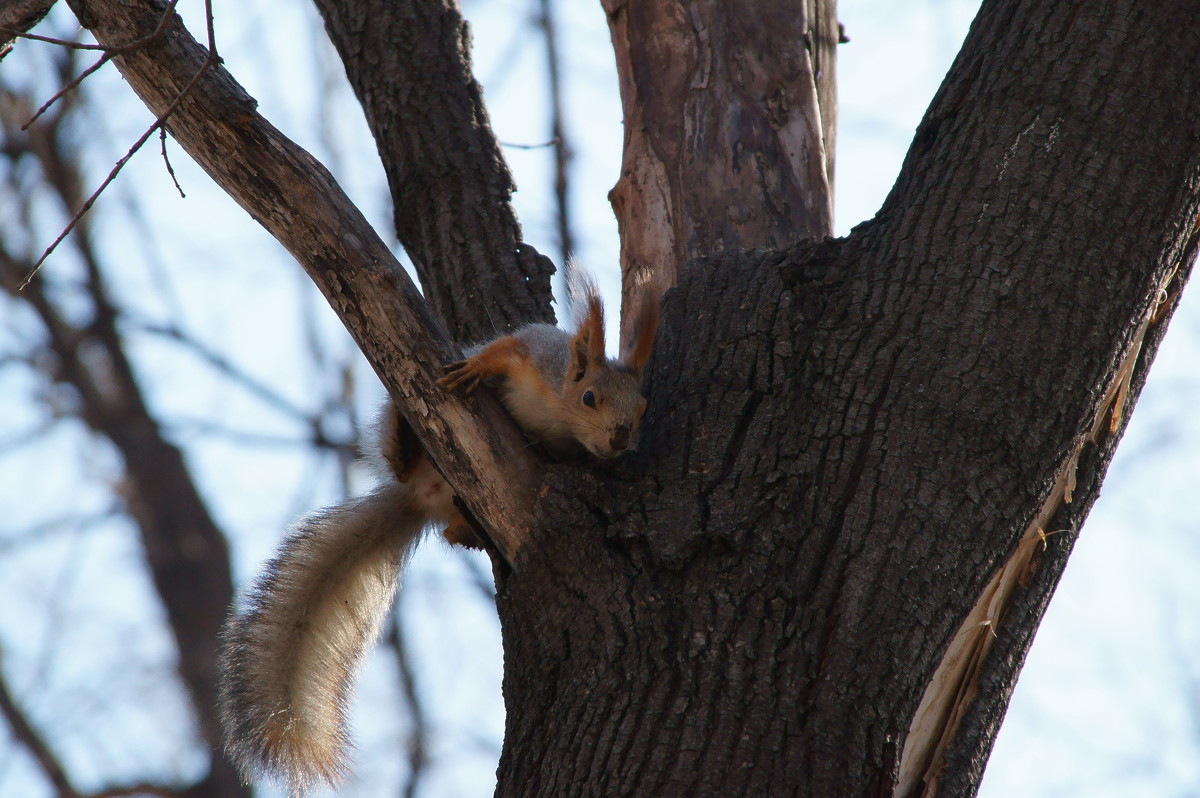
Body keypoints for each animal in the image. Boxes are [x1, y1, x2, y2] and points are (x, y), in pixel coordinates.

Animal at [216, 278, 657, 792]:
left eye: (643, 408)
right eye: (589, 397)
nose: (620, 438)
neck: (559, 417)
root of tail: (422, 496)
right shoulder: (538, 357)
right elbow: (505, 349)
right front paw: (475, 368)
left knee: (448, 530)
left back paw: (467, 531)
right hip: (399, 437)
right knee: (398, 457)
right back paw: (406, 441)